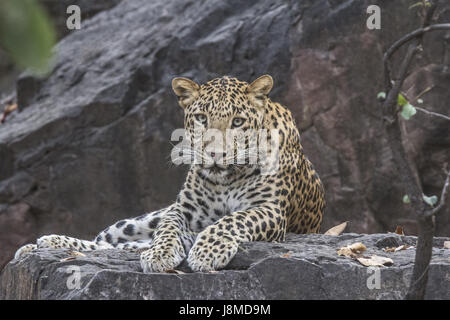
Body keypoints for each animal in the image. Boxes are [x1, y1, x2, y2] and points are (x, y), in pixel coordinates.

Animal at [13, 75, 324, 272]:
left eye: (238, 122)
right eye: (201, 118)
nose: (215, 154)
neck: (226, 179)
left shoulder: (270, 209)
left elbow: (232, 220)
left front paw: (206, 252)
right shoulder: (182, 210)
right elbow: (167, 229)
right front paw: (160, 254)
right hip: (134, 222)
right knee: (108, 241)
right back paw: (45, 244)